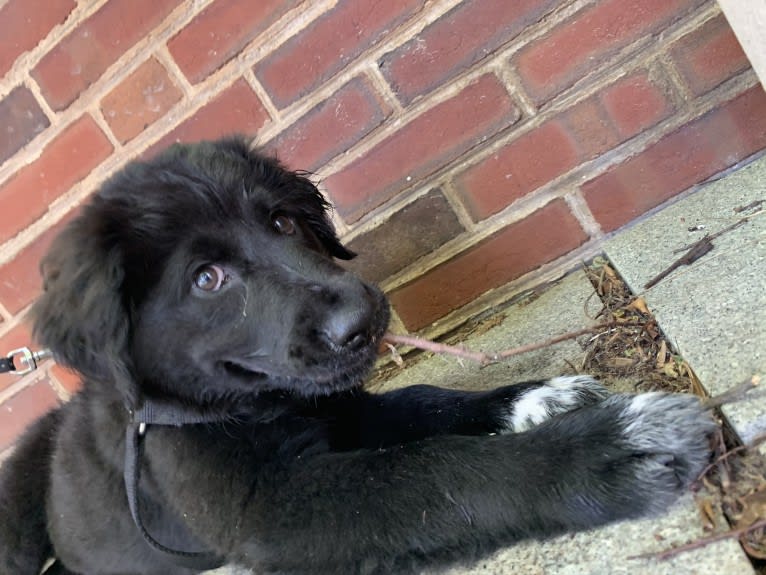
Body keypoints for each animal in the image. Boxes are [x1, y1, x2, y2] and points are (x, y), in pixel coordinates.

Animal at [0, 138, 716, 575]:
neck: (261, 407)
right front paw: (593, 455)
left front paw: (535, 400)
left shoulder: (347, 412)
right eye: (206, 279)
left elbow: (426, 403)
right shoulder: (274, 511)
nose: (363, 322)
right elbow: (431, 470)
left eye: (283, 222)